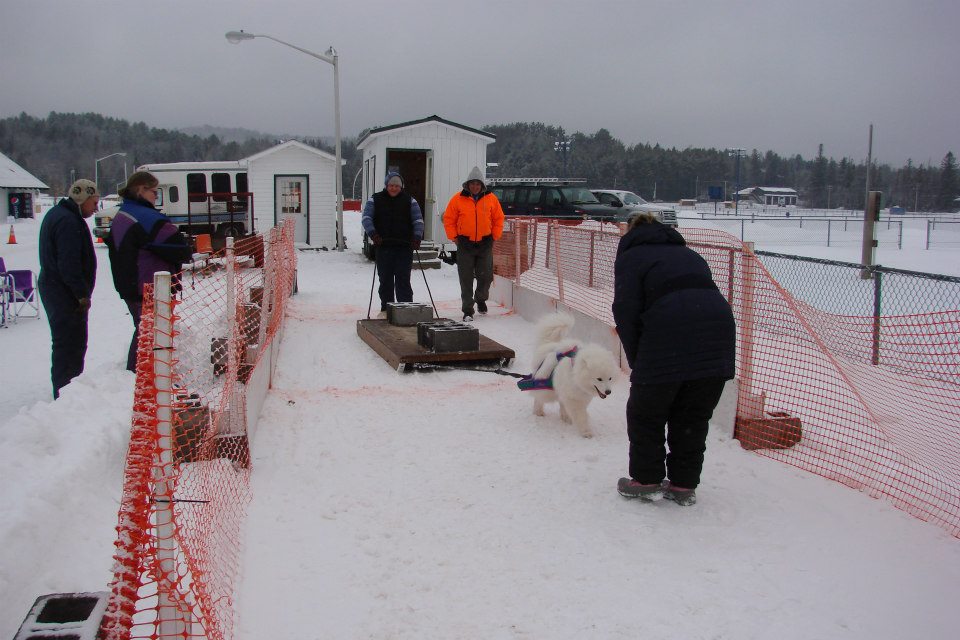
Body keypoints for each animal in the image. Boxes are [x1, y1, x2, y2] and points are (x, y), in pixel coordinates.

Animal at [528, 312, 620, 440]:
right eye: (599, 379)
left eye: (610, 378)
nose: (608, 392)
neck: (576, 377)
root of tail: (548, 344)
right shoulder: (574, 399)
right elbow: (581, 415)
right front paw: (586, 432)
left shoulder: (580, 397)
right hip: (547, 388)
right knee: (538, 397)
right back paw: (538, 412)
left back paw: (565, 417)